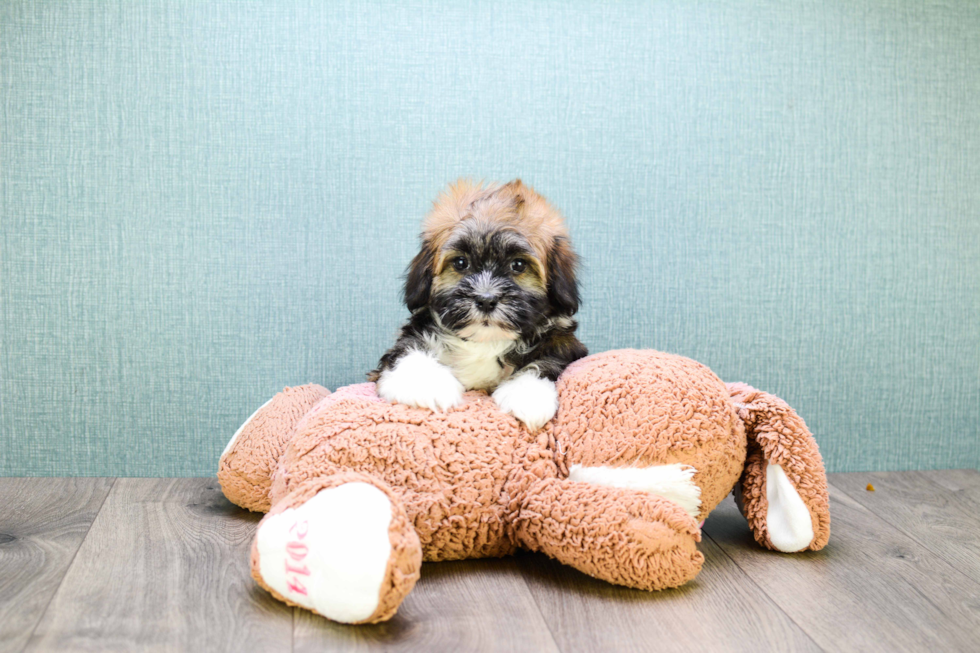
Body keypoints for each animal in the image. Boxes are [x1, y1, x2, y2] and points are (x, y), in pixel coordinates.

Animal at [366, 181, 580, 430]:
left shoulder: (564, 342)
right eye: (461, 263)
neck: (484, 342)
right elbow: (409, 349)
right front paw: (428, 385)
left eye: (518, 265)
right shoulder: (414, 333)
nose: (486, 300)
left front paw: (527, 394)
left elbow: (549, 360)